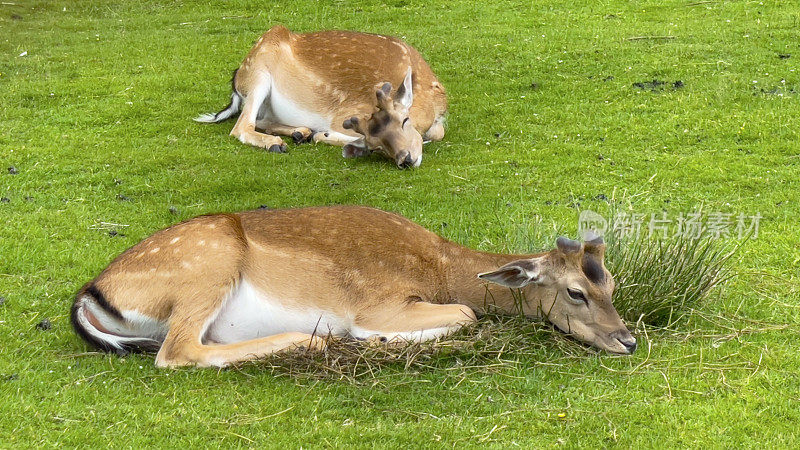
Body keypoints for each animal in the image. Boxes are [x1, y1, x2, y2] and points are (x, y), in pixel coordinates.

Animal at [73, 206, 636, 368]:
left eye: (610, 282)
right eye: (576, 292)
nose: (627, 339)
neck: (442, 269)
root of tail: (91, 291)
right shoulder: (379, 302)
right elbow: (466, 313)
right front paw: (380, 339)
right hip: (208, 264)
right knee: (174, 351)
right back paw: (316, 339)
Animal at [191, 26, 446, 171]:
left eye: (404, 121)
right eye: (376, 147)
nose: (406, 159)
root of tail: (237, 77)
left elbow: (438, 133)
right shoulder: (346, 113)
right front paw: (323, 135)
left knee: (259, 120)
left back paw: (300, 132)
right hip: (259, 71)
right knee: (242, 125)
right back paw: (279, 143)